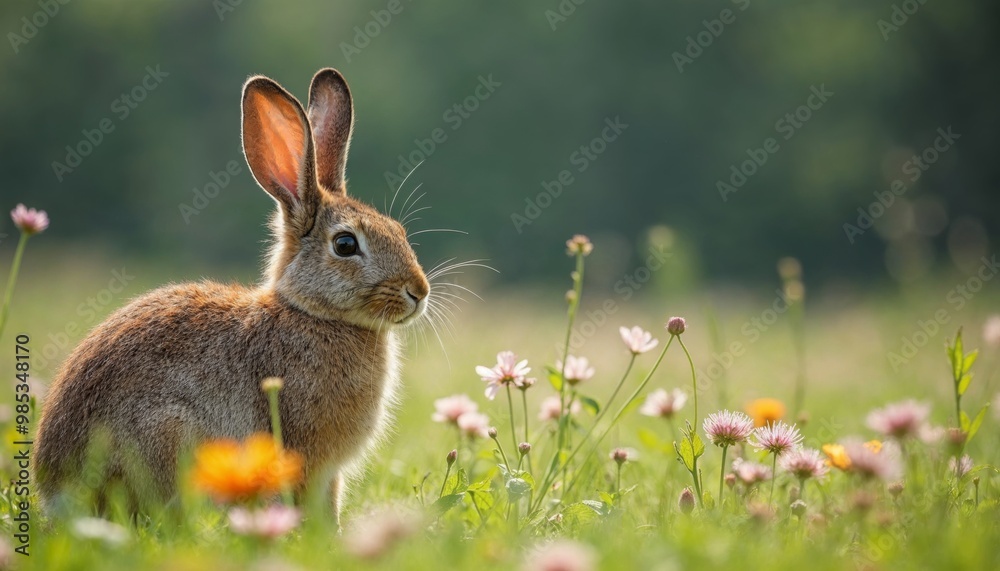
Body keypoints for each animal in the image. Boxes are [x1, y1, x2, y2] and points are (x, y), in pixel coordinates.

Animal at [34, 68, 430, 523]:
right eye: (345, 245)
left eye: (398, 230)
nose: (419, 291)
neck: (313, 314)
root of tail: (57, 491)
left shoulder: (328, 473)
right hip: (169, 436)